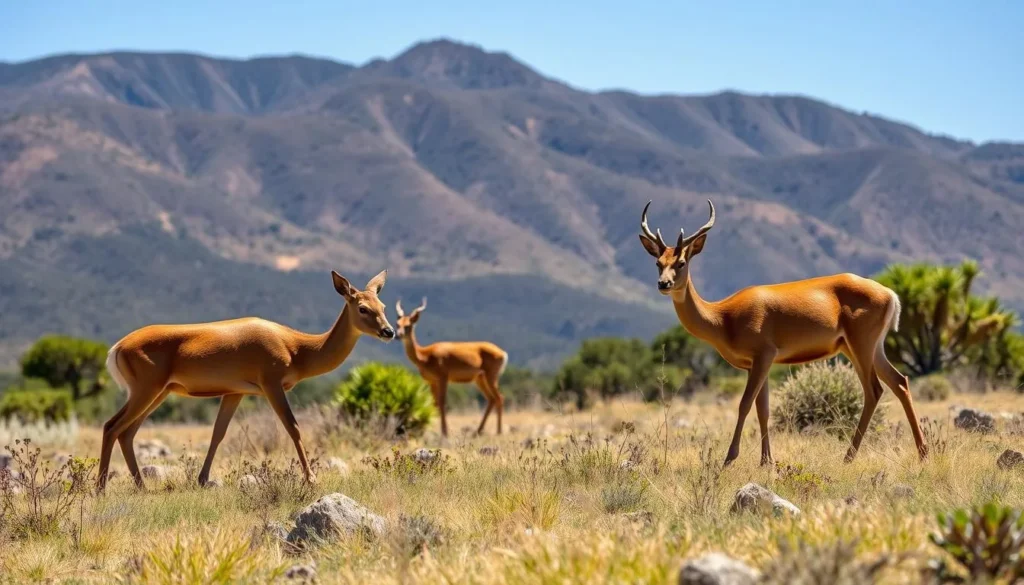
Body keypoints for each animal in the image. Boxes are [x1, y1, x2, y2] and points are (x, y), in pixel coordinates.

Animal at [97, 270, 395, 491]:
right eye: (362, 308)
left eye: (382, 305)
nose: (389, 331)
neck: (297, 348)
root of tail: (117, 349)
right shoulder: (271, 383)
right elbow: (293, 428)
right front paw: (311, 480)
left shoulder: (234, 392)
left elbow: (218, 433)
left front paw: (203, 480)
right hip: (146, 389)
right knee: (111, 426)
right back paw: (100, 488)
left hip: (158, 392)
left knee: (127, 432)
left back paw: (141, 487)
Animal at [394, 298, 509, 438]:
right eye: (397, 324)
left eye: (408, 325)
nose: (398, 335)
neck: (425, 355)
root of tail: (502, 353)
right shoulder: (432, 381)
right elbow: (435, 404)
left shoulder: (443, 378)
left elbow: (442, 402)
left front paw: (445, 432)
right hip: (480, 379)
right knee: (492, 399)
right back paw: (478, 431)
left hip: (491, 377)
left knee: (499, 398)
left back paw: (498, 432)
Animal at [637, 200, 927, 466]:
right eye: (658, 262)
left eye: (681, 262)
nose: (663, 283)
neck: (723, 317)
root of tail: (890, 294)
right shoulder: (756, 364)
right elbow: (763, 409)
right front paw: (767, 462)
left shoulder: (763, 356)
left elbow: (744, 404)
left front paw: (729, 459)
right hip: (866, 348)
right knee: (900, 382)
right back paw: (922, 453)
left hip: (861, 347)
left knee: (874, 390)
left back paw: (848, 457)